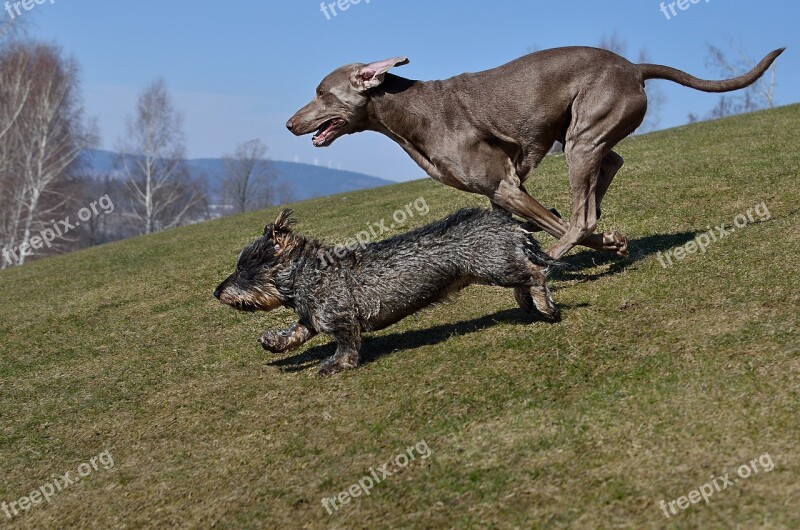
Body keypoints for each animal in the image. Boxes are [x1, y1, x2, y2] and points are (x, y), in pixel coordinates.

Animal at [214, 208, 564, 374]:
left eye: (244, 271)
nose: (217, 292)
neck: (307, 274)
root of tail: (507, 220)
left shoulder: (341, 320)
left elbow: (346, 346)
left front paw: (336, 365)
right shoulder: (314, 317)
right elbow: (296, 332)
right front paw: (273, 342)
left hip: (494, 267)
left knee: (534, 273)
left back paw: (546, 307)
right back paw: (527, 303)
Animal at [286, 46, 780, 256]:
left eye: (321, 92)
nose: (290, 124)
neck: (406, 111)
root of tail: (634, 67)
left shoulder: (504, 185)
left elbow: (556, 221)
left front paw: (596, 242)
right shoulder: (499, 193)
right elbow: (529, 221)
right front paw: (610, 240)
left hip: (582, 137)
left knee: (583, 215)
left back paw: (563, 250)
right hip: (580, 134)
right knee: (608, 168)